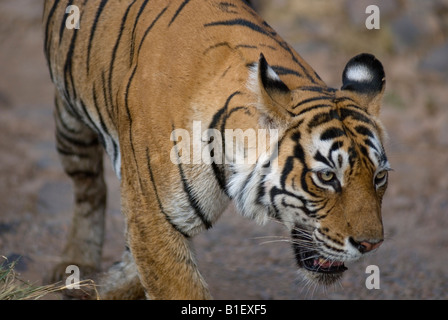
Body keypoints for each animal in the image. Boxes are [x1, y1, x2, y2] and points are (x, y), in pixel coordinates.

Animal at [43, 0, 390, 300]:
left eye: (380, 177)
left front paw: (106, 286)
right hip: (70, 125)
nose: (371, 246)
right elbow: (179, 287)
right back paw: (76, 264)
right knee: (89, 186)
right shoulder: (153, 216)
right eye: (327, 177)